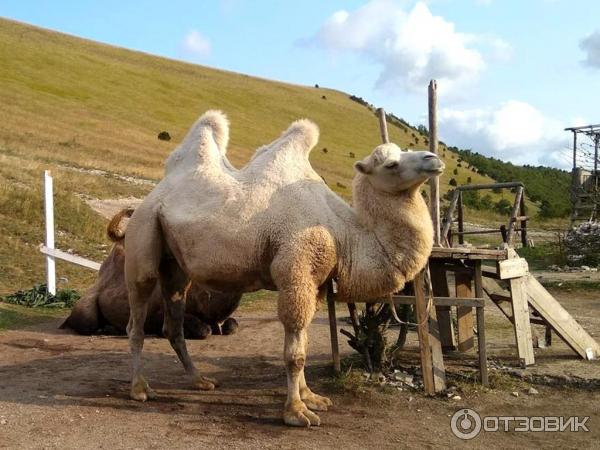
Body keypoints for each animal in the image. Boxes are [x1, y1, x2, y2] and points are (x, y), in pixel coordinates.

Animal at [125, 110, 446, 428]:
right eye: (391, 163)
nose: (433, 158)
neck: (343, 232)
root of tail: (152, 196)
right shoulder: (296, 273)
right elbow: (295, 353)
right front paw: (296, 411)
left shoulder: (315, 284)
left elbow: (303, 341)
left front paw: (311, 397)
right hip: (143, 231)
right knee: (137, 315)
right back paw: (140, 388)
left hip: (175, 266)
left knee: (173, 321)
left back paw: (200, 381)